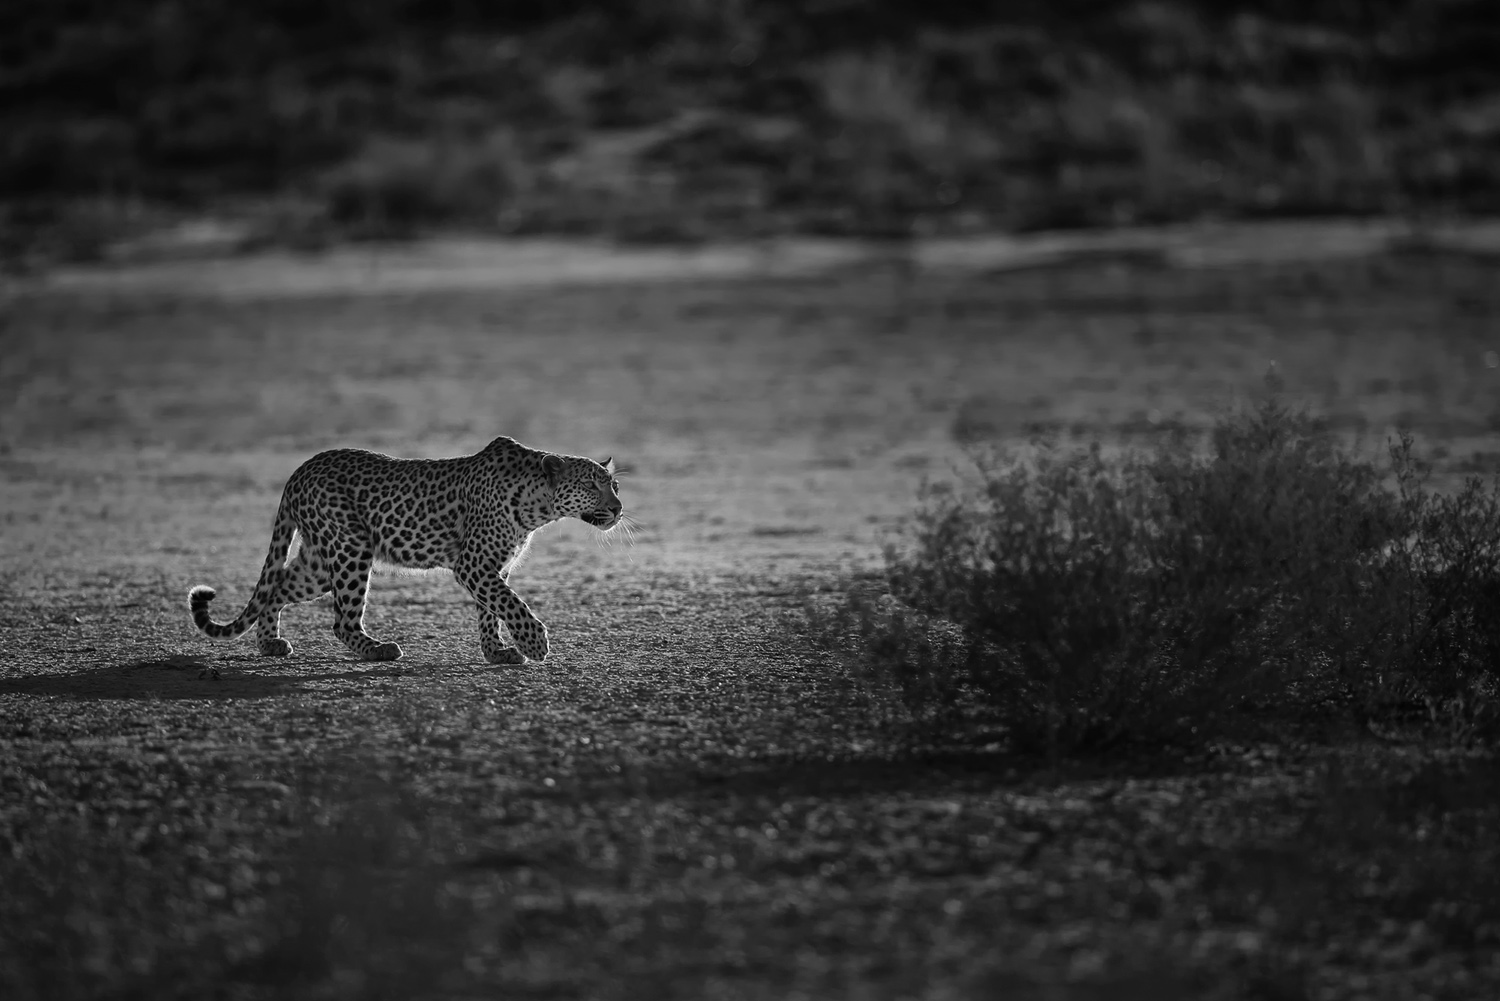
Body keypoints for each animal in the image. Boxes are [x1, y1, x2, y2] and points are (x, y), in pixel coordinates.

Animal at [187, 435, 621, 666]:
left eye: (614, 484)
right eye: (591, 484)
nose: (618, 508)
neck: (539, 506)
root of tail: (298, 471)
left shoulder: (494, 566)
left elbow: (492, 608)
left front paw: (498, 651)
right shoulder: (474, 564)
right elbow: (509, 602)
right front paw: (534, 643)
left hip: (319, 564)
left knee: (277, 586)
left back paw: (269, 644)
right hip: (350, 548)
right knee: (341, 621)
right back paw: (378, 649)